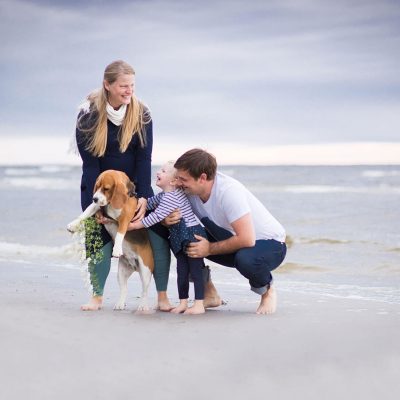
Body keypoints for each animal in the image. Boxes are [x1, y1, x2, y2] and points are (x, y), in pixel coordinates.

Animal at [66, 170, 154, 310]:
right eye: (97, 186)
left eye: (106, 189)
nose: (94, 198)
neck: (112, 203)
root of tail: (134, 266)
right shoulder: (97, 207)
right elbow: (84, 214)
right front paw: (73, 225)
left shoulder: (125, 219)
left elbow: (120, 234)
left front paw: (117, 249)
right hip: (121, 273)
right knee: (124, 289)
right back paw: (120, 303)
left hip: (145, 271)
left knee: (145, 290)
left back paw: (142, 306)